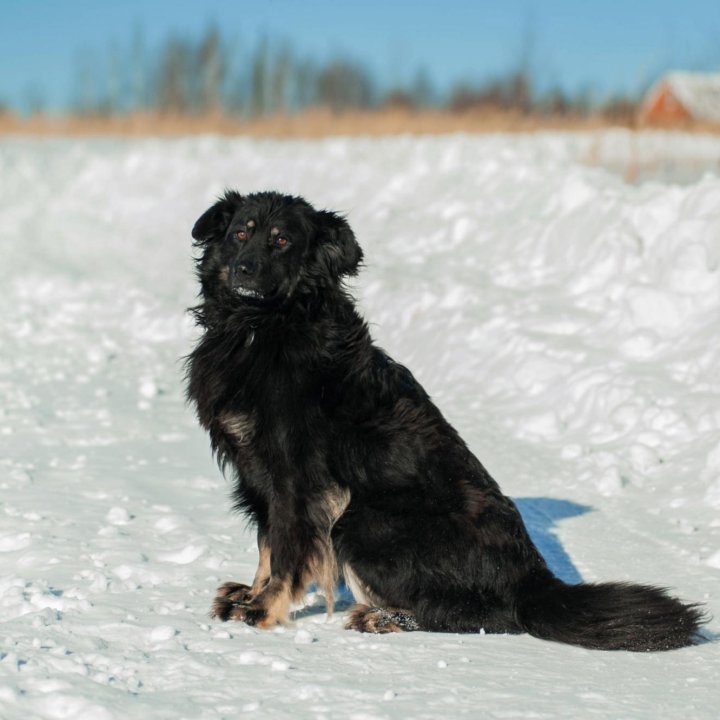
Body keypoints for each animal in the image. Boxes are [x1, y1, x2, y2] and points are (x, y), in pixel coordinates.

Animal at [184, 191, 704, 652]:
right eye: (239, 233)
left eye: (282, 241)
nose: (244, 268)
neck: (263, 327)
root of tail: (533, 581)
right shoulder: (257, 472)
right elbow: (267, 542)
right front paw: (251, 593)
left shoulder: (299, 478)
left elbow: (288, 549)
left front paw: (264, 609)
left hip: (363, 522)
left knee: (489, 615)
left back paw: (384, 618)